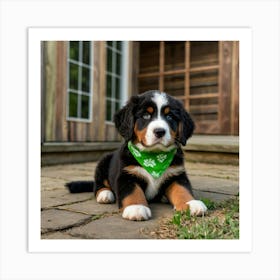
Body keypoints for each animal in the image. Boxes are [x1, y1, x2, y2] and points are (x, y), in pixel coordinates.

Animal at [66, 90, 207, 221]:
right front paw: (136, 207)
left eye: (170, 117)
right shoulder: (126, 175)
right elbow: (133, 191)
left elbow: (182, 189)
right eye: (145, 115)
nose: (160, 131)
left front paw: (191, 203)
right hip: (103, 162)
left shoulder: (177, 174)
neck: (154, 157)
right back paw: (105, 194)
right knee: (98, 184)